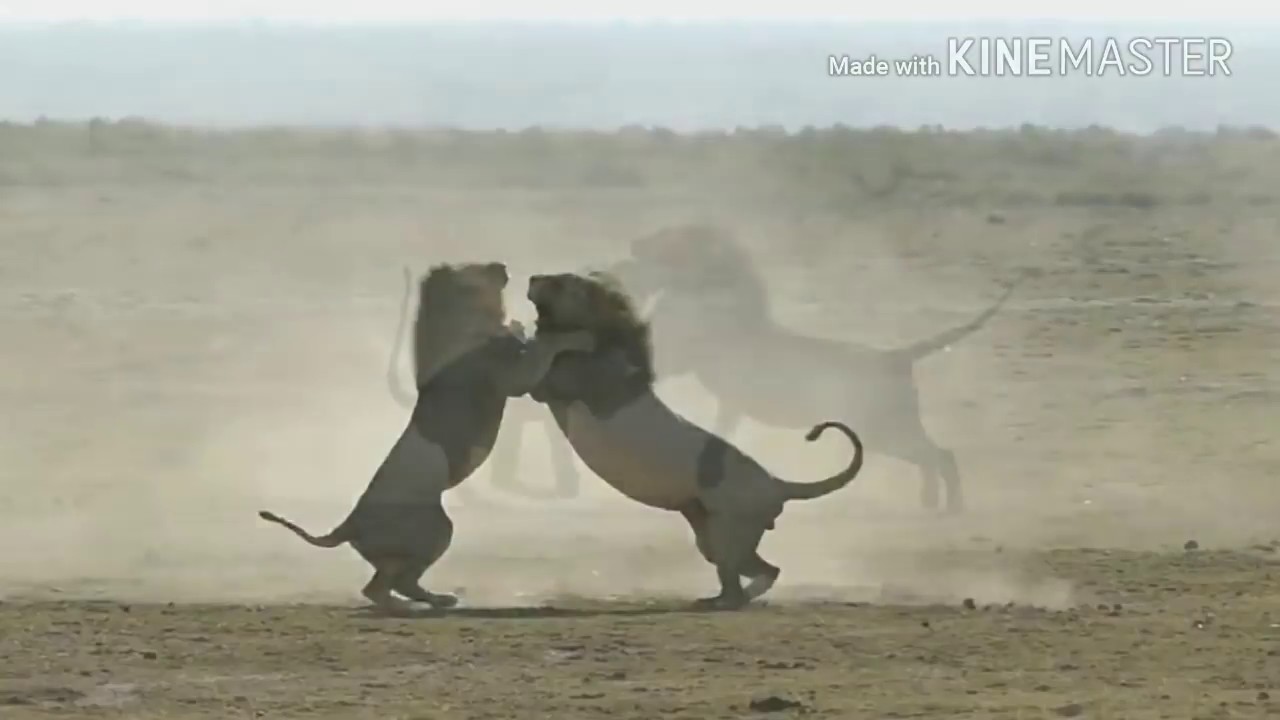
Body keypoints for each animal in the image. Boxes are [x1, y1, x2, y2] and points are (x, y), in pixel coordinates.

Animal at [257, 261, 594, 615]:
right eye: (474, 270)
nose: (501, 266)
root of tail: (349, 524)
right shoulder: (513, 376)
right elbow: (544, 350)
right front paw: (575, 336)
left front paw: (518, 326)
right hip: (434, 530)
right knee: (383, 587)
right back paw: (412, 605)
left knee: (388, 584)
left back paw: (436, 600)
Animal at [524, 271, 865, 610]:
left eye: (560, 282)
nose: (532, 278)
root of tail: (776, 483)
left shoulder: (559, 382)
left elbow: (549, 358)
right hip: (713, 537)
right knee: (765, 570)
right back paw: (720, 599)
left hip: (727, 531)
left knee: (746, 582)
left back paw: (725, 603)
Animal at [605, 223, 1024, 514]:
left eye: (672, 237)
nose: (634, 244)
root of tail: (896, 356)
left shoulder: (680, 351)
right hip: (891, 428)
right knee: (933, 457)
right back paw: (931, 502)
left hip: (886, 428)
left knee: (942, 455)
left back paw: (951, 508)